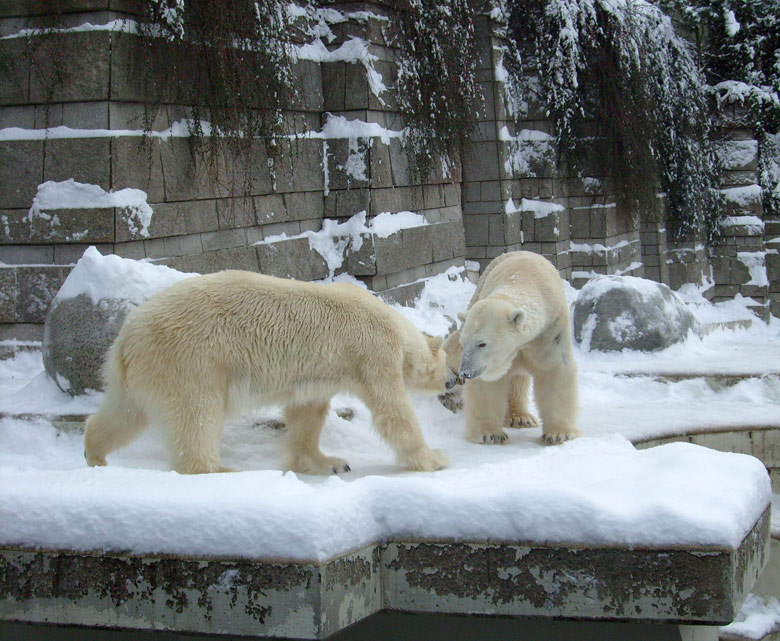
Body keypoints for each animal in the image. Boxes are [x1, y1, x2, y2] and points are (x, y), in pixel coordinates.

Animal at [84, 268, 458, 472]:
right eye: (447, 363)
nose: (455, 379)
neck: (396, 327)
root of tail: (127, 334)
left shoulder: (319, 374)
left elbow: (307, 413)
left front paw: (328, 462)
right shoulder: (374, 354)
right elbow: (393, 413)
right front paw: (435, 457)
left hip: (144, 368)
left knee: (125, 412)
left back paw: (95, 453)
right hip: (190, 357)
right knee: (196, 415)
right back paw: (217, 469)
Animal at [444, 250, 580, 444]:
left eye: (482, 343)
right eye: (466, 342)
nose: (466, 373)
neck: (524, 279)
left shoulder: (550, 330)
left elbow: (555, 370)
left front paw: (558, 434)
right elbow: (488, 384)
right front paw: (489, 434)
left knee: (518, 379)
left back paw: (521, 418)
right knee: (451, 348)